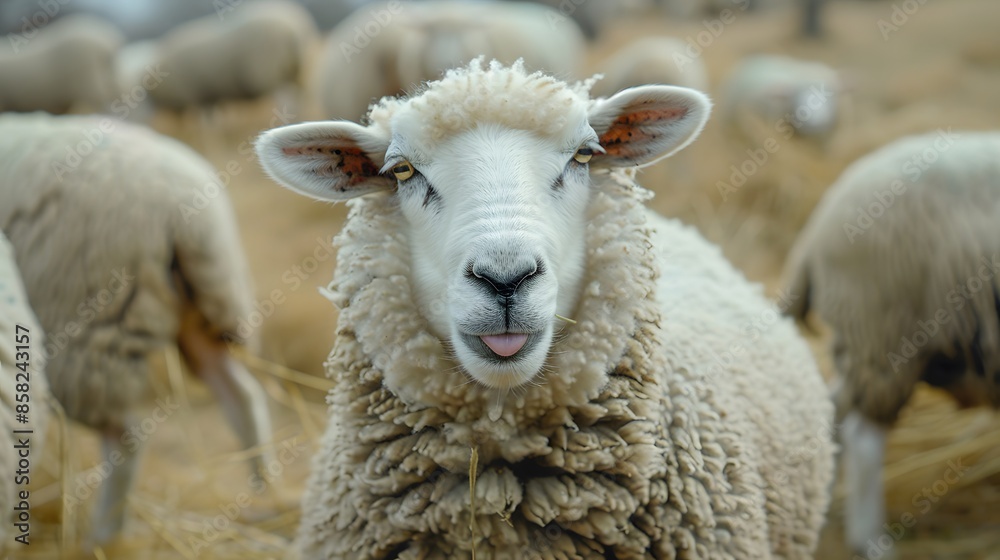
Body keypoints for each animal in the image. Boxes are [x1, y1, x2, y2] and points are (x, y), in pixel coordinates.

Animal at [0, 112, 274, 545]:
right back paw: (264, 492)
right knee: (241, 393)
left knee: (125, 438)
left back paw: (101, 539)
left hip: (86, 327)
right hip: (193, 308)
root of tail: (187, 211)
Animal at [125, 0, 319, 112]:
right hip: (293, 70)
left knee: (284, 96)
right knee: (301, 92)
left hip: (268, 72)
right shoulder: (207, 97)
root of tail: (292, 31)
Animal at [782, 130, 1000, 556]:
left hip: (866, 343)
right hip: (884, 335)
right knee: (864, 438)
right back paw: (871, 540)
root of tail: (818, 226)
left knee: (834, 415)